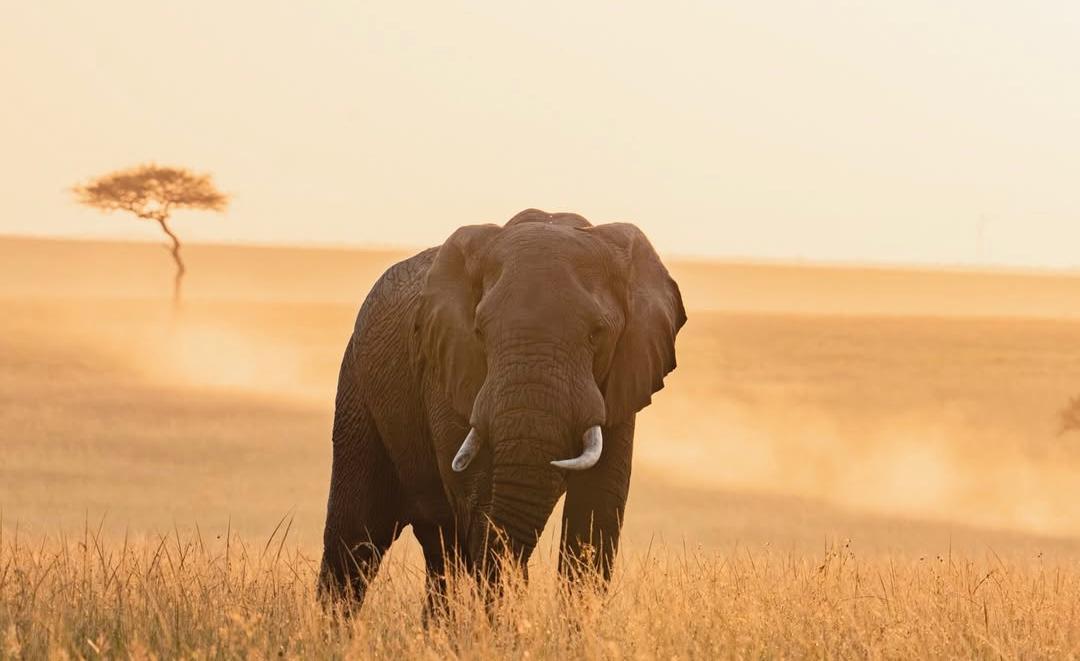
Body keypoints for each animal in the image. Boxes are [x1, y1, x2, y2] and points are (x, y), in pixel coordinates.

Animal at [318, 208, 686, 613]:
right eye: (480, 333)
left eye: (596, 334)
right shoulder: (447, 365)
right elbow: (480, 497)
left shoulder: (623, 378)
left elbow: (597, 508)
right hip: (357, 386)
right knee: (356, 536)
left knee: (438, 551)